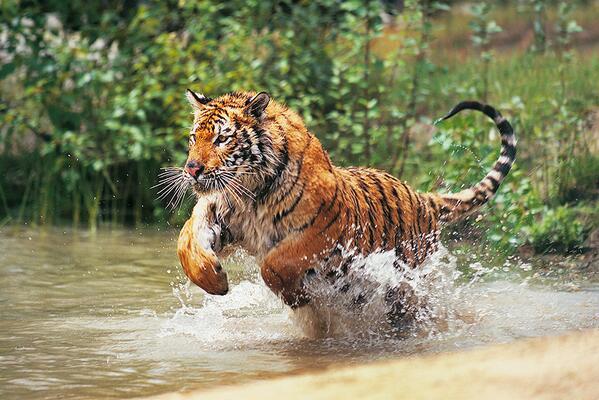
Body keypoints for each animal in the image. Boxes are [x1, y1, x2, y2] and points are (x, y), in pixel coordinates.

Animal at [170, 89, 516, 324]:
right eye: (194, 138)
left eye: (222, 139)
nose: (191, 169)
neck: (250, 193)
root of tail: (422, 198)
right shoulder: (219, 213)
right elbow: (186, 242)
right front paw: (215, 280)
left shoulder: (322, 229)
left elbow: (274, 263)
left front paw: (296, 297)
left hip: (407, 286)